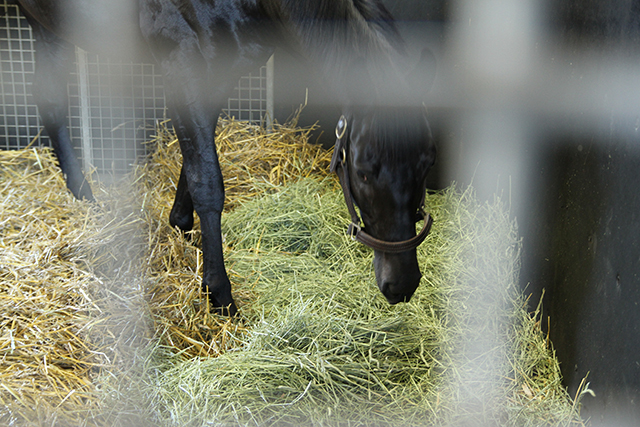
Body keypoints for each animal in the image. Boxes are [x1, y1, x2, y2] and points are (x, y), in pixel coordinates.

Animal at [15, 0, 438, 314]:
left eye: (428, 163)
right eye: (363, 172)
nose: (401, 284)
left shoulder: (220, 69)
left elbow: (196, 159)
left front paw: (181, 226)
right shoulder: (181, 61)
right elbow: (208, 179)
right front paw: (218, 292)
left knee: (49, 97)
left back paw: (83, 193)